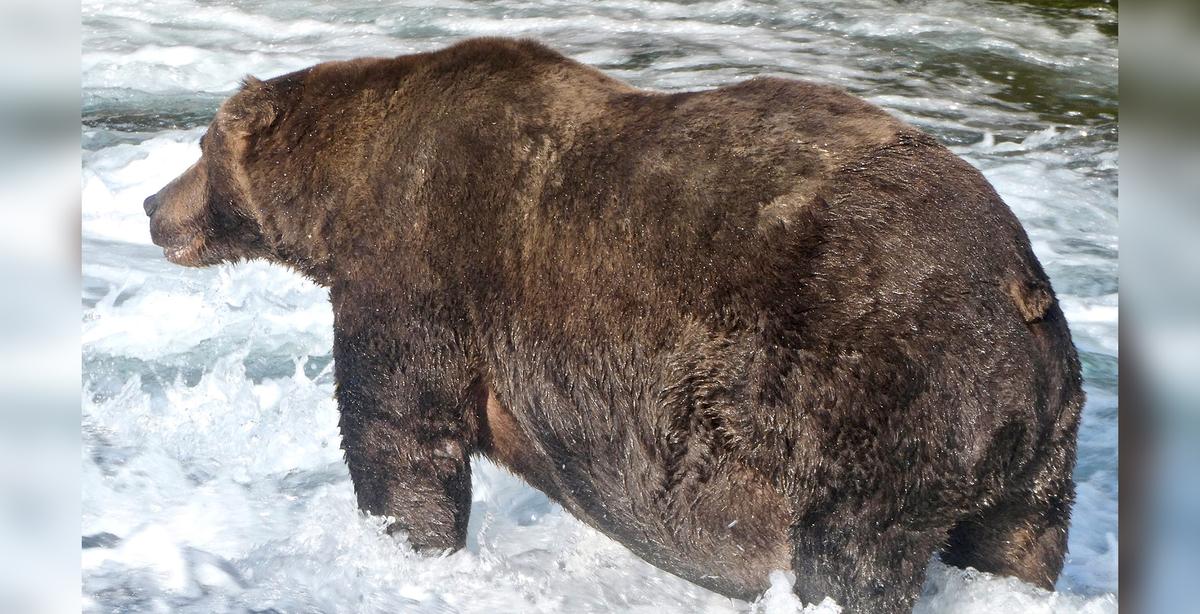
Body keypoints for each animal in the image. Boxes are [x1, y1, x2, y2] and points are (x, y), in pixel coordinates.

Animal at [143, 37, 1083, 613]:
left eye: (199, 147)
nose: (153, 206)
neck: (338, 197)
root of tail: (1021, 289)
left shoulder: (419, 263)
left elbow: (400, 432)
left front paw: (404, 545)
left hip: (875, 390)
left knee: (851, 555)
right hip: (1035, 447)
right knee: (1017, 542)